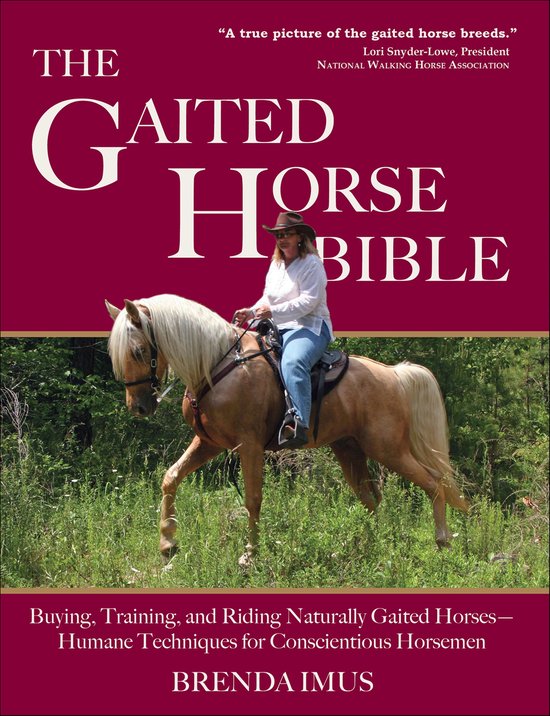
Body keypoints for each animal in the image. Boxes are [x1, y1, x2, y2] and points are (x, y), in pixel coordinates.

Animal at [105, 294, 469, 566]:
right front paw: (168, 544)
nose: (138, 407)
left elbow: (252, 499)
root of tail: (394, 375)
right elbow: (171, 477)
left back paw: (442, 543)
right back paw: (366, 548)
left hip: (388, 449)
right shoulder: (209, 443)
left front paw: (249, 556)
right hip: (350, 450)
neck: (216, 364)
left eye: (138, 351)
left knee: (434, 483)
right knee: (371, 498)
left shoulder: (249, 446)